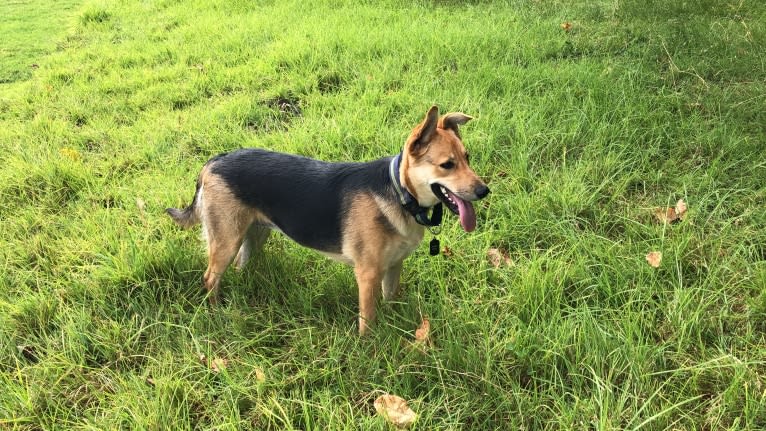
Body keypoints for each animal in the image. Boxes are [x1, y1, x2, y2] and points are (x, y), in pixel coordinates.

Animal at [168, 106, 492, 336]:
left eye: (468, 158)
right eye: (447, 165)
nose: (484, 191)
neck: (401, 193)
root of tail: (213, 162)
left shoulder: (393, 267)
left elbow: (391, 299)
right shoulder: (368, 274)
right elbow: (367, 320)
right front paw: (370, 350)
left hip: (253, 234)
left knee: (237, 266)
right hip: (227, 239)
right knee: (210, 278)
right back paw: (216, 313)